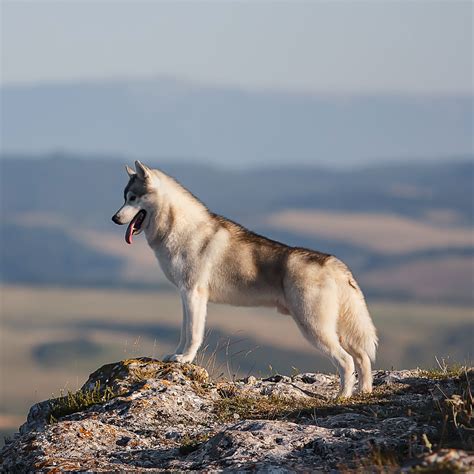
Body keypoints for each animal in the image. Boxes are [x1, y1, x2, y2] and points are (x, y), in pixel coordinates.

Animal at [112, 162, 378, 396]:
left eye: (133, 198)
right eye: (125, 197)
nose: (114, 218)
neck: (179, 228)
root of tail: (335, 264)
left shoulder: (194, 293)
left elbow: (193, 333)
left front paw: (185, 358)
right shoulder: (185, 295)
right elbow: (184, 331)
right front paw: (176, 356)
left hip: (315, 327)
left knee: (346, 361)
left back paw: (342, 396)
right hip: (337, 329)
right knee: (362, 358)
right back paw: (363, 391)